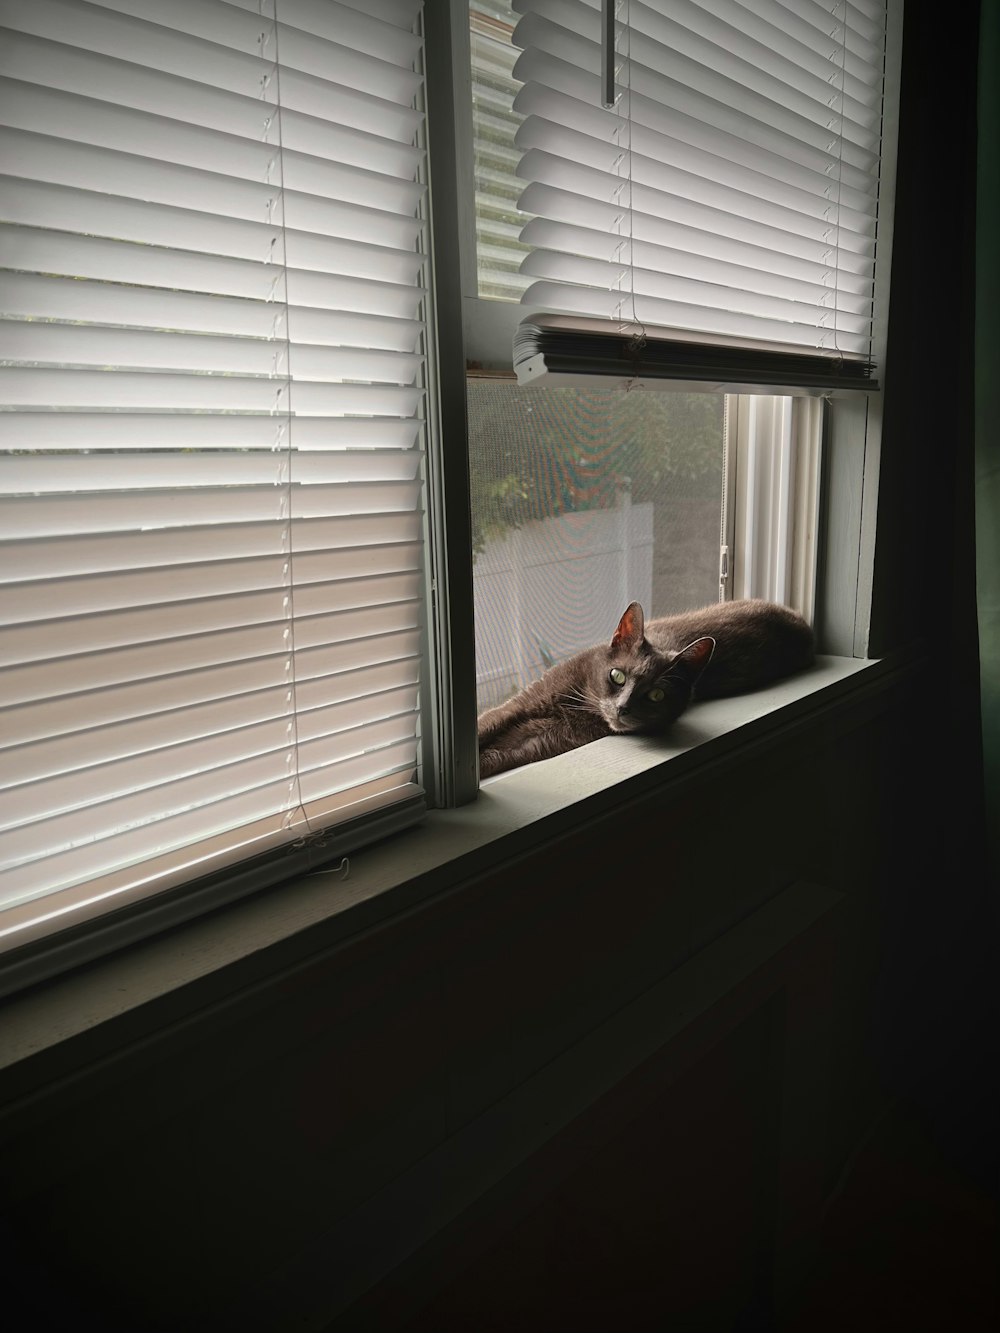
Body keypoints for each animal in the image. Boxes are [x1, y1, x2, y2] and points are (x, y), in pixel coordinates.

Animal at [474, 597, 816, 778]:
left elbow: (499, 755)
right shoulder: (524, 701)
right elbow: (487, 724)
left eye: (656, 695)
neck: (581, 704)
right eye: (617, 676)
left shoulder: (542, 740)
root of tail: (804, 626)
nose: (623, 707)